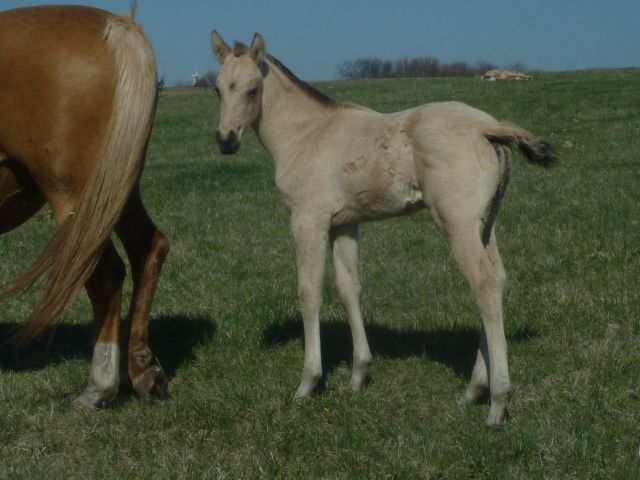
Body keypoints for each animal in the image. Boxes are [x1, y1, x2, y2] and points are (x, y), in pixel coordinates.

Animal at [0, 5, 169, 406]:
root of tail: (114, 25)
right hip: (115, 191)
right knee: (149, 248)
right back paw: (142, 371)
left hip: (78, 203)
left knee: (106, 272)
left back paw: (99, 387)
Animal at [211, 31, 556, 426]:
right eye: (217, 88)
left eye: (253, 89)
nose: (225, 140)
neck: (306, 134)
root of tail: (488, 127)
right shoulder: (345, 225)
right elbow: (349, 289)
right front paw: (358, 376)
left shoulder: (308, 220)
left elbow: (309, 294)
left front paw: (308, 383)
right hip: (486, 224)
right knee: (496, 280)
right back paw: (473, 391)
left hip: (457, 224)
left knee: (483, 285)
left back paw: (497, 402)